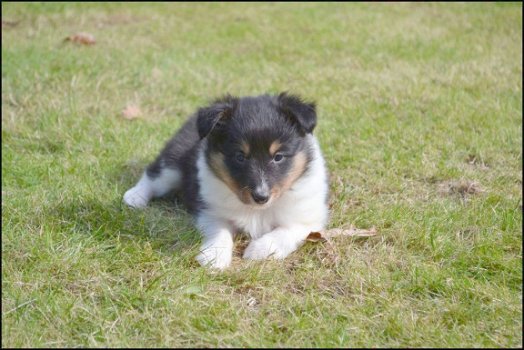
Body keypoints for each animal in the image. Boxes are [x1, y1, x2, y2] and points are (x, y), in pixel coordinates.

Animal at [123, 91, 328, 270]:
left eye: (278, 157)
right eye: (240, 156)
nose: (261, 197)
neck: (256, 210)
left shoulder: (308, 218)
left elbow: (284, 232)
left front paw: (258, 251)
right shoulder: (211, 211)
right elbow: (220, 232)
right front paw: (213, 258)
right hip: (173, 162)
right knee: (154, 175)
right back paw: (134, 197)